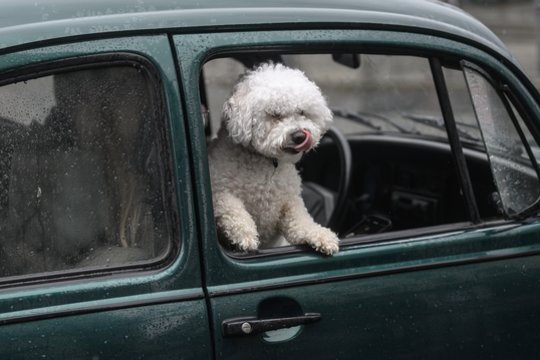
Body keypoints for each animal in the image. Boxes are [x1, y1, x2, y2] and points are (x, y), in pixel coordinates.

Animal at [209, 62, 340, 255]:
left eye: (302, 112)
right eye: (275, 114)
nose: (300, 135)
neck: (267, 162)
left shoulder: (289, 203)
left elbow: (300, 221)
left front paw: (320, 235)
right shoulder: (219, 191)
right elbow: (232, 208)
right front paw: (245, 234)